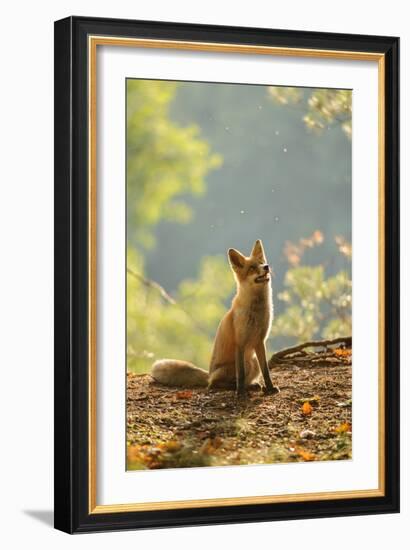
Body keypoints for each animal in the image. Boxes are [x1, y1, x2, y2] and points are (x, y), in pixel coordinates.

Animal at [152, 240, 280, 396]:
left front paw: (270, 388)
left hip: (253, 362)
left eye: (262, 263)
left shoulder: (260, 341)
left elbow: (266, 372)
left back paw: (252, 385)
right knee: (214, 384)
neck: (256, 311)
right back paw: (236, 388)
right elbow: (241, 374)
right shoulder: (240, 342)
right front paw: (240, 393)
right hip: (242, 364)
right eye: (252, 268)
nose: (266, 267)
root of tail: (209, 374)